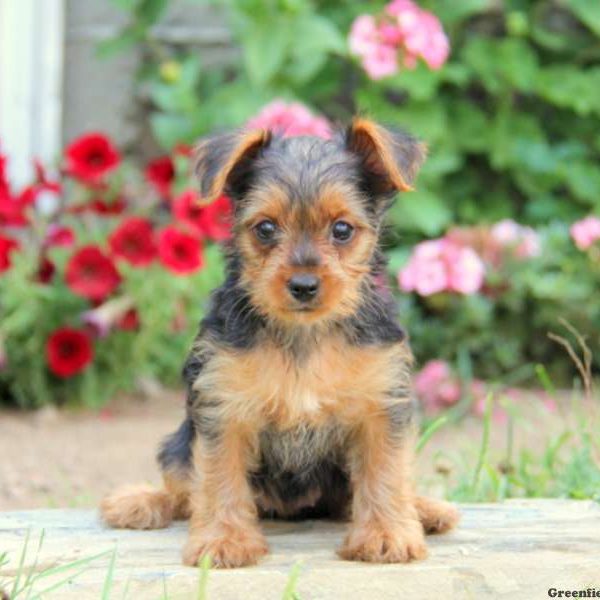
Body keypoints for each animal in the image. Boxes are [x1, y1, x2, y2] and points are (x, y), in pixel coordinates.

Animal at [102, 117, 460, 568]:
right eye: (266, 228)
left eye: (342, 230)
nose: (303, 285)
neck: (303, 333)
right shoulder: (223, 406)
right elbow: (218, 478)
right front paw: (223, 540)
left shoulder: (381, 403)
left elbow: (386, 470)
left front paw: (386, 534)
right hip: (178, 443)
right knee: (182, 489)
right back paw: (140, 502)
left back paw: (426, 509)